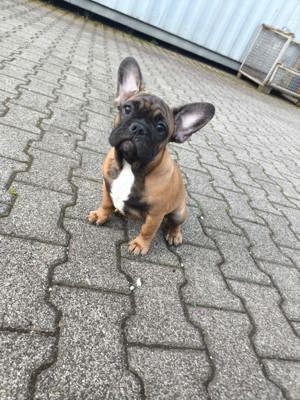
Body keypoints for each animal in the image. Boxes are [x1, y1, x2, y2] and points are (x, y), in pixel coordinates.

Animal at [88, 57, 214, 253]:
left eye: (161, 128)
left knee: (175, 223)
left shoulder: (156, 213)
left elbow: (148, 229)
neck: (129, 165)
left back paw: (174, 234)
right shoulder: (107, 186)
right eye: (127, 109)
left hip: (179, 212)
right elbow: (106, 203)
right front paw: (100, 214)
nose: (138, 128)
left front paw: (140, 245)